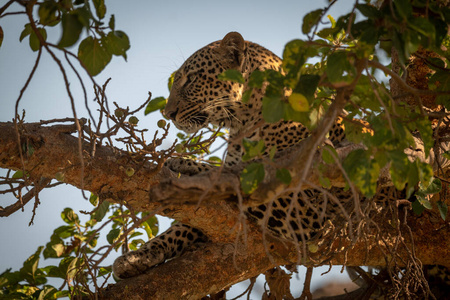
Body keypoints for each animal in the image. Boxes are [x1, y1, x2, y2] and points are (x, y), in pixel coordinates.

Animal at [111, 31, 408, 280]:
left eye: (191, 78)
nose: (168, 113)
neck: (243, 126)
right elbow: (182, 227)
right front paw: (136, 258)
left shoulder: (305, 209)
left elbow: (234, 183)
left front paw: (187, 168)